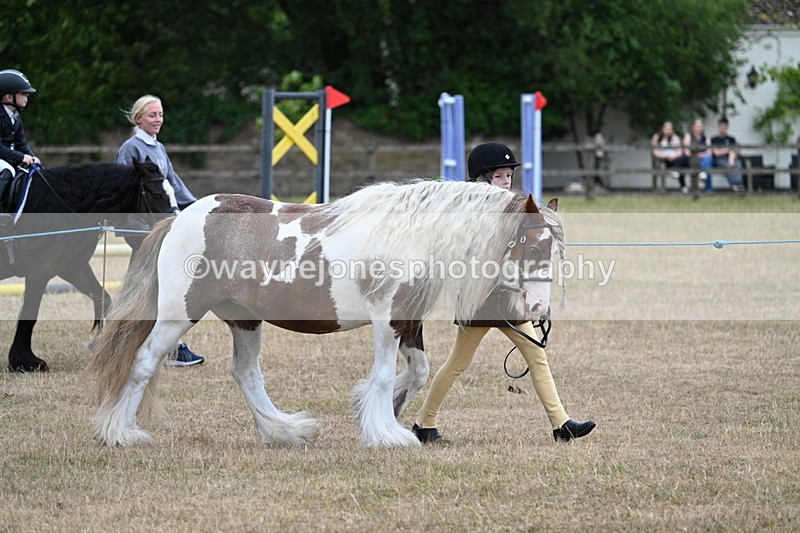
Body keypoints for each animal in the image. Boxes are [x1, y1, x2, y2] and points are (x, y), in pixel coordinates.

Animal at [1, 159, 178, 372]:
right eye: (157, 194)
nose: (175, 226)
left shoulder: (73, 268)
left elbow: (103, 298)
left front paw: (107, 348)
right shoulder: (39, 270)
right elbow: (29, 313)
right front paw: (25, 361)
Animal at [88, 179, 565, 448]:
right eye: (534, 245)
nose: (539, 309)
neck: (410, 236)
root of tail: (180, 219)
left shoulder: (409, 321)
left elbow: (419, 373)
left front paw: (381, 413)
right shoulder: (386, 321)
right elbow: (384, 374)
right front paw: (385, 433)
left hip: (244, 318)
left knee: (246, 373)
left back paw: (285, 431)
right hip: (178, 314)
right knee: (144, 361)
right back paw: (121, 434)